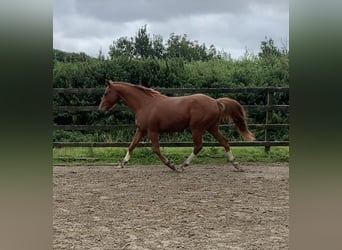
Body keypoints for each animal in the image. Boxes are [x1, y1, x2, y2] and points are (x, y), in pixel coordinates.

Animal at [99, 80, 254, 172]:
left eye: (106, 93)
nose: (101, 109)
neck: (144, 104)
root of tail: (215, 101)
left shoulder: (152, 131)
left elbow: (156, 150)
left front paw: (171, 165)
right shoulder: (141, 130)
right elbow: (131, 146)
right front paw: (122, 163)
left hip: (197, 128)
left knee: (198, 146)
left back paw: (182, 165)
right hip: (212, 128)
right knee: (224, 142)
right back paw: (236, 165)